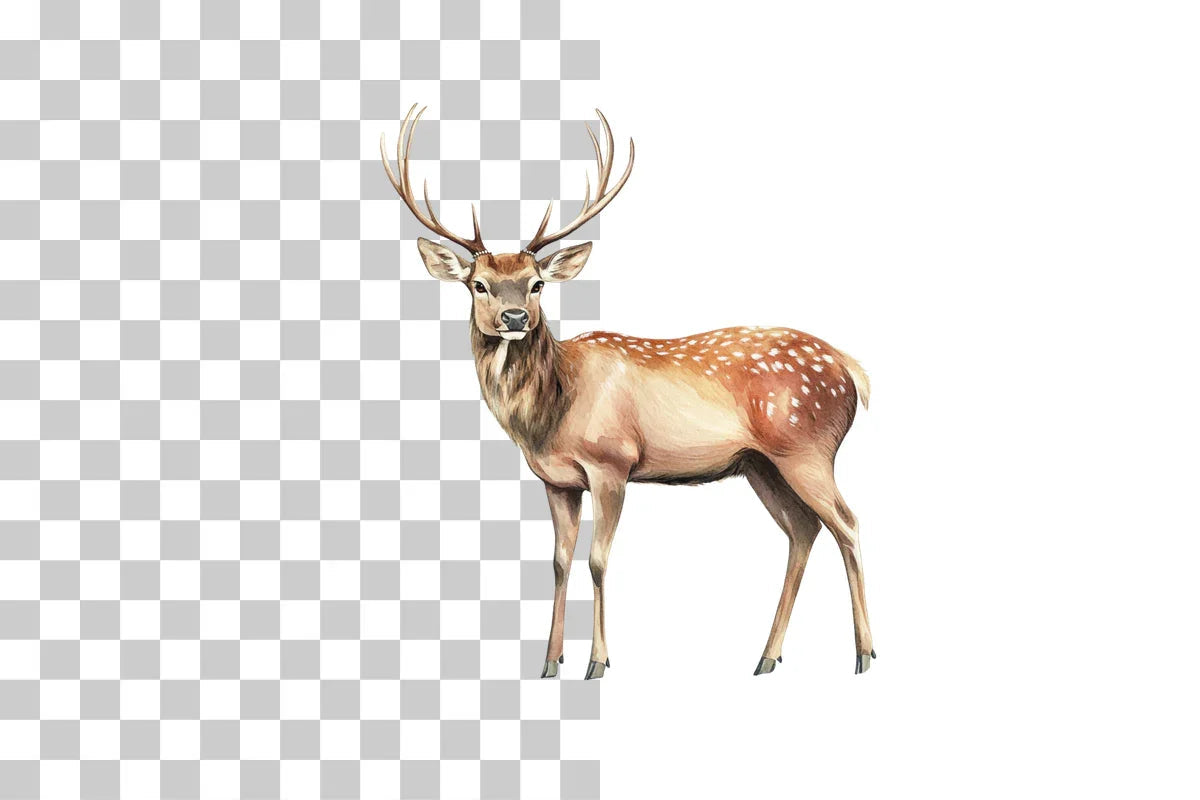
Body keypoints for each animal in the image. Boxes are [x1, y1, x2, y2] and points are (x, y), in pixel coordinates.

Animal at [381, 105, 876, 678]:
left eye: (537, 283)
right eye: (478, 284)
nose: (515, 317)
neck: (550, 413)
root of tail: (851, 370)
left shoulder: (612, 463)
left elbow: (597, 560)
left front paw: (598, 663)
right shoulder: (557, 481)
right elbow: (558, 562)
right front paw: (549, 663)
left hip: (807, 448)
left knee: (847, 524)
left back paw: (864, 653)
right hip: (761, 464)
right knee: (802, 531)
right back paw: (767, 657)